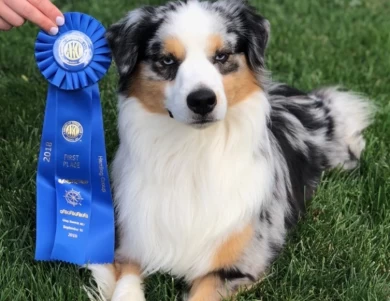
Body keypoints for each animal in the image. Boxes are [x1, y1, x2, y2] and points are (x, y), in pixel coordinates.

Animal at [86, 1, 374, 298]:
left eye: (222, 56)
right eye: (167, 60)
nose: (202, 101)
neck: (193, 151)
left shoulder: (238, 265)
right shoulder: (131, 246)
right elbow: (125, 288)